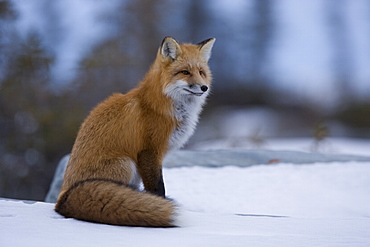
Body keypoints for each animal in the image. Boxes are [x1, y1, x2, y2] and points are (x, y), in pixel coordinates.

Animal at [56, 36, 215, 228]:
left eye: (201, 72)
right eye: (185, 72)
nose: (204, 87)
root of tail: (62, 198)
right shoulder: (149, 151)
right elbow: (157, 188)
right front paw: (159, 205)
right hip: (126, 163)